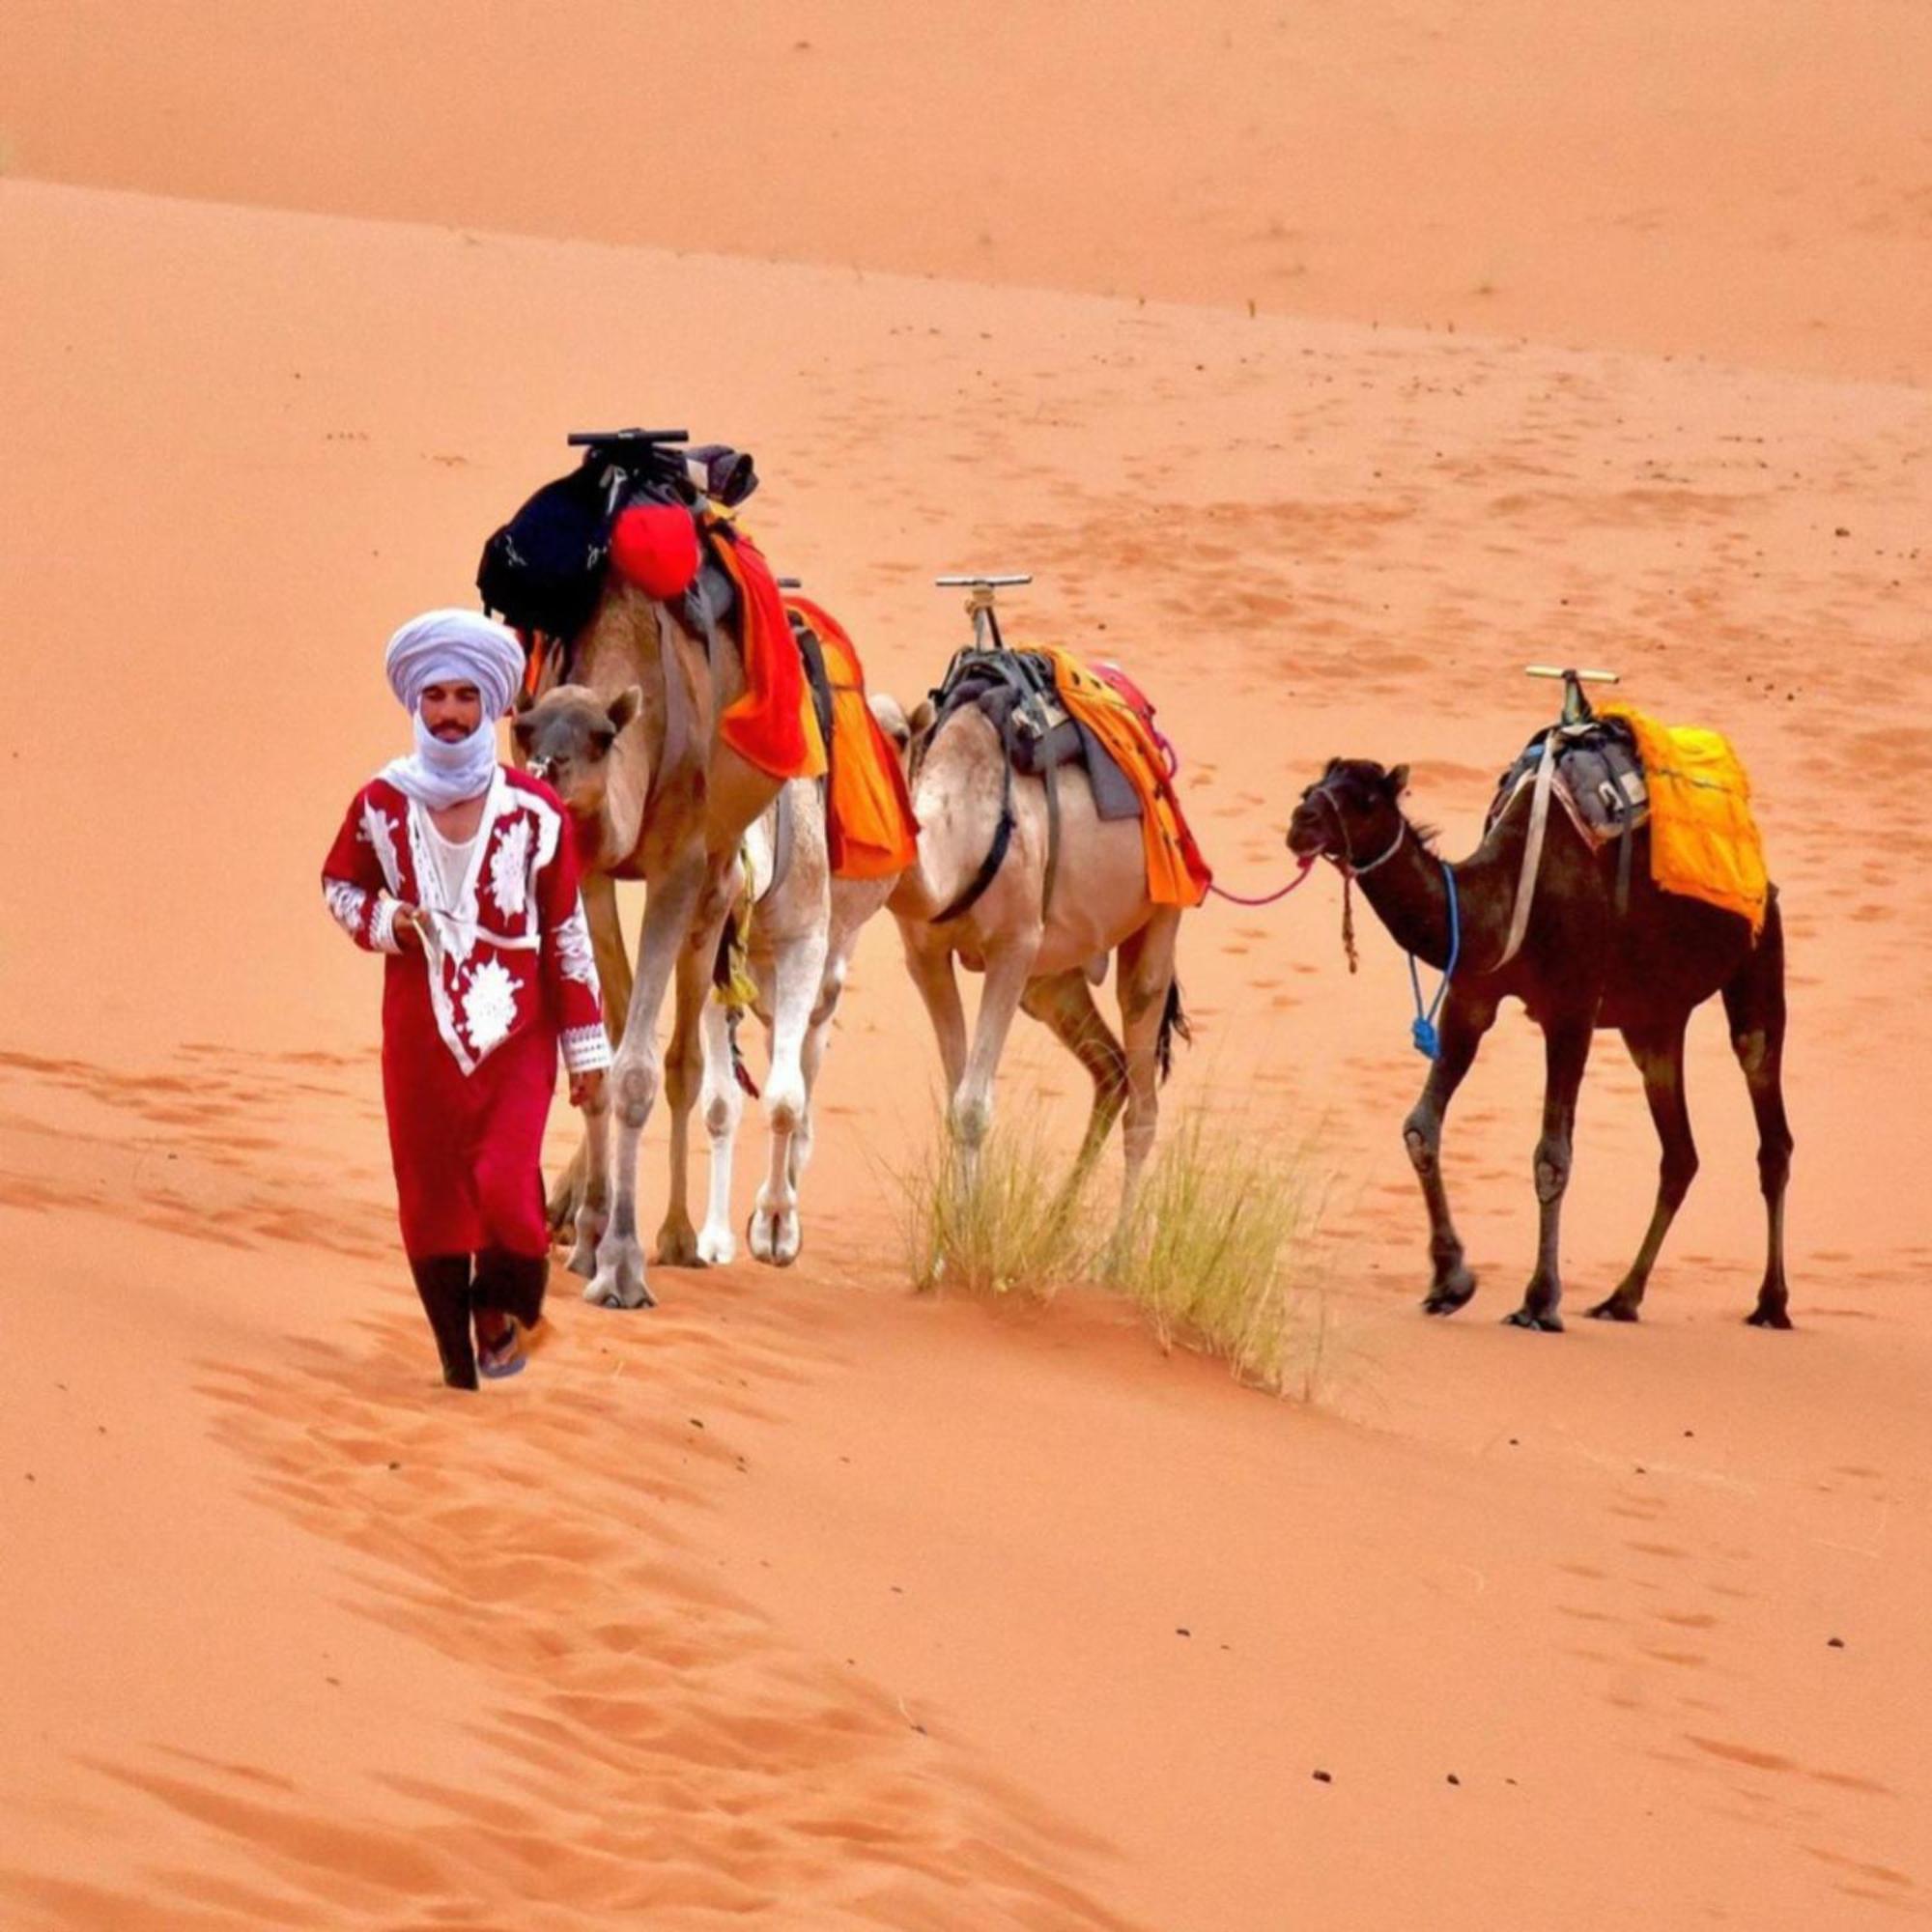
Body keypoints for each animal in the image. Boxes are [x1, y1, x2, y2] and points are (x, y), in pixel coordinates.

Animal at [1283, 753, 1793, 1329]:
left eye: (1365, 800)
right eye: (1311, 788)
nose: (1301, 822)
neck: (1501, 897)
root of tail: (1765, 878)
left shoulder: (1572, 1009)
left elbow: (1552, 1157)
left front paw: (1539, 1301)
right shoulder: (1471, 996)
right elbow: (1420, 1128)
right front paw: (1450, 1281)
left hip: (1760, 955)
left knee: (1769, 1121)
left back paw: (1771, 1304)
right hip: (1654, 1021)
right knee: (1680, 1154)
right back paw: (1621, 1299)